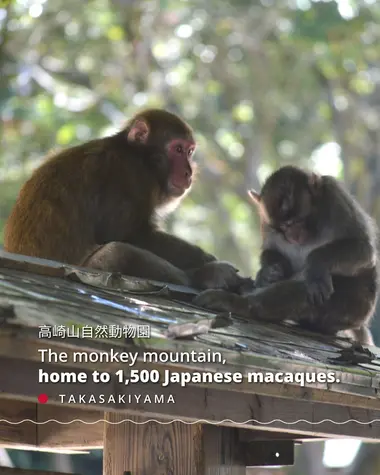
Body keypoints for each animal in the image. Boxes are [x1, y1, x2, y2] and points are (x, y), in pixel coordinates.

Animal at [4, 109, 252, 294]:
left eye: (189, 151)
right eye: (178, 149)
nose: (188, 172)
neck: (140, 156)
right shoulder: (127, 173)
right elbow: (126, 234)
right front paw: (205, 261)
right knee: (117, 254)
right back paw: (200, 277)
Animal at [194, 165, 378, 344]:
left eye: (295, 222)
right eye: (282, 228)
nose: (293, 237)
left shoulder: (336, 197)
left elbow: (364, 250)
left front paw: (317, 266)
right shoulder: (265, 219)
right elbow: (271, 249)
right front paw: (269, 272)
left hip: (354, 307)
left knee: (304, 288)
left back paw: (241, 304)